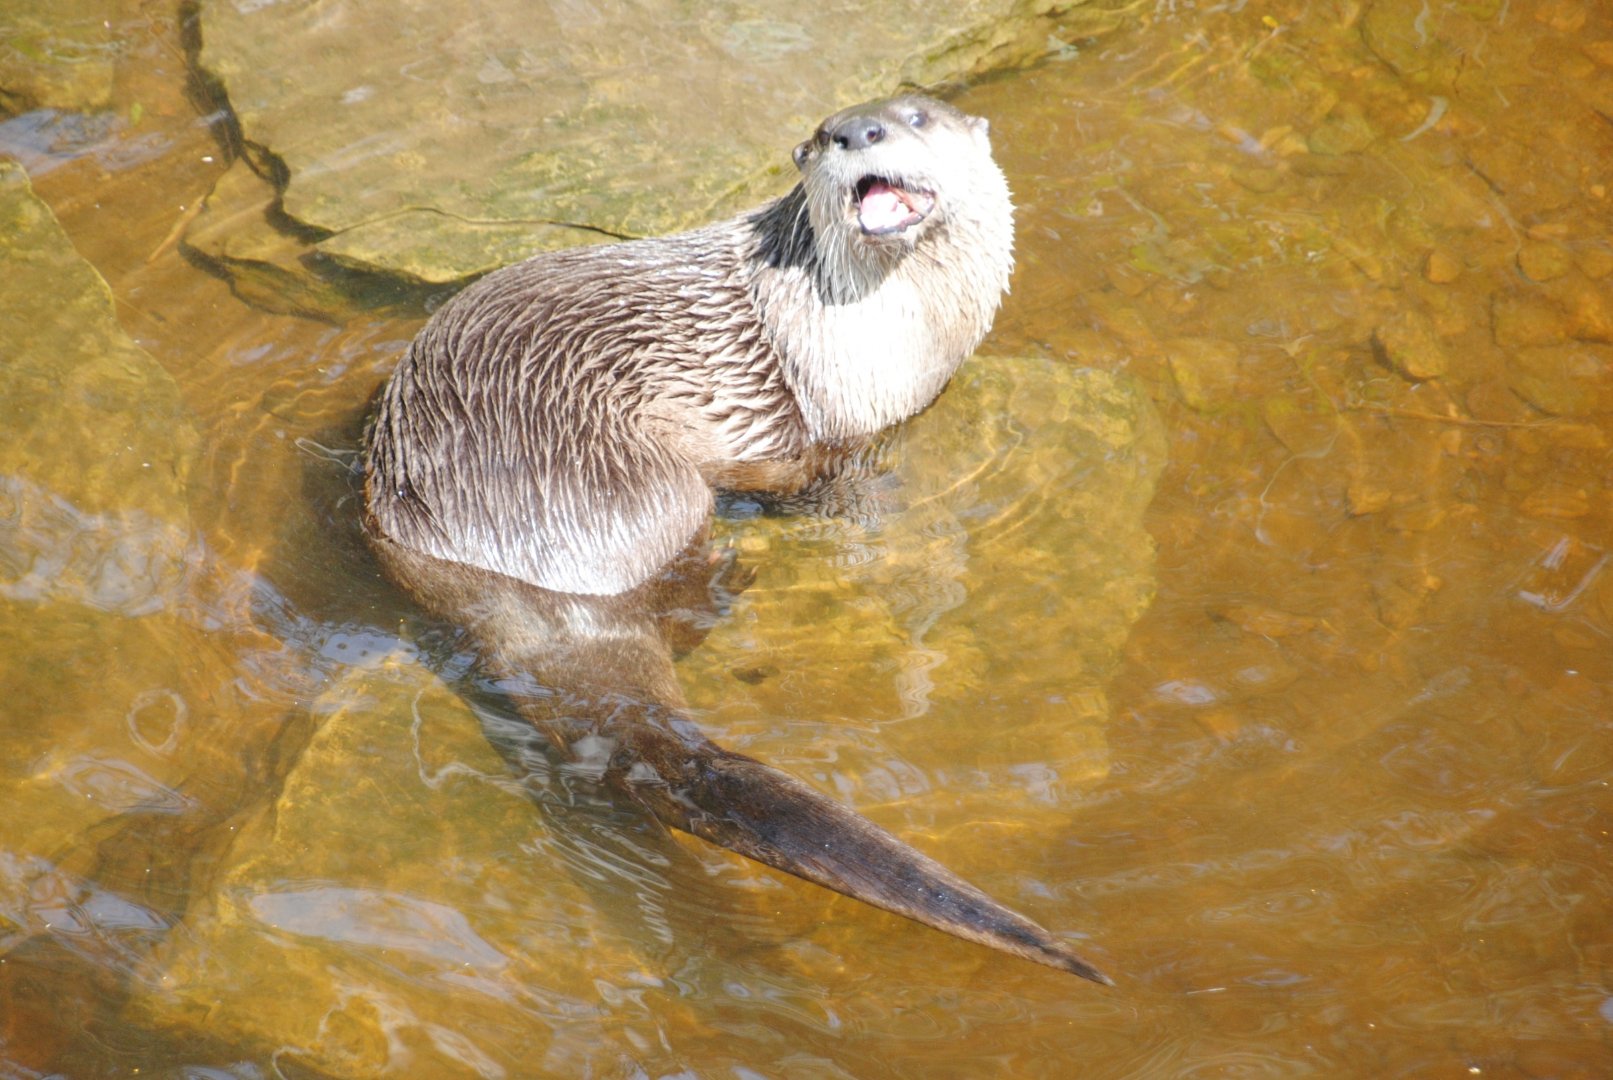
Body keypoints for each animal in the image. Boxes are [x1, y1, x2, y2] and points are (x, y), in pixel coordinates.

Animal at [362, 94, 1110, 983]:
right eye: (824, 135)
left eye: (913, 115)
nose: (857, 133)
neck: (914, 337)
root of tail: (494, 547)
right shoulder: (831, 424)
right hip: (644, 486)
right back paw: (726, 577)